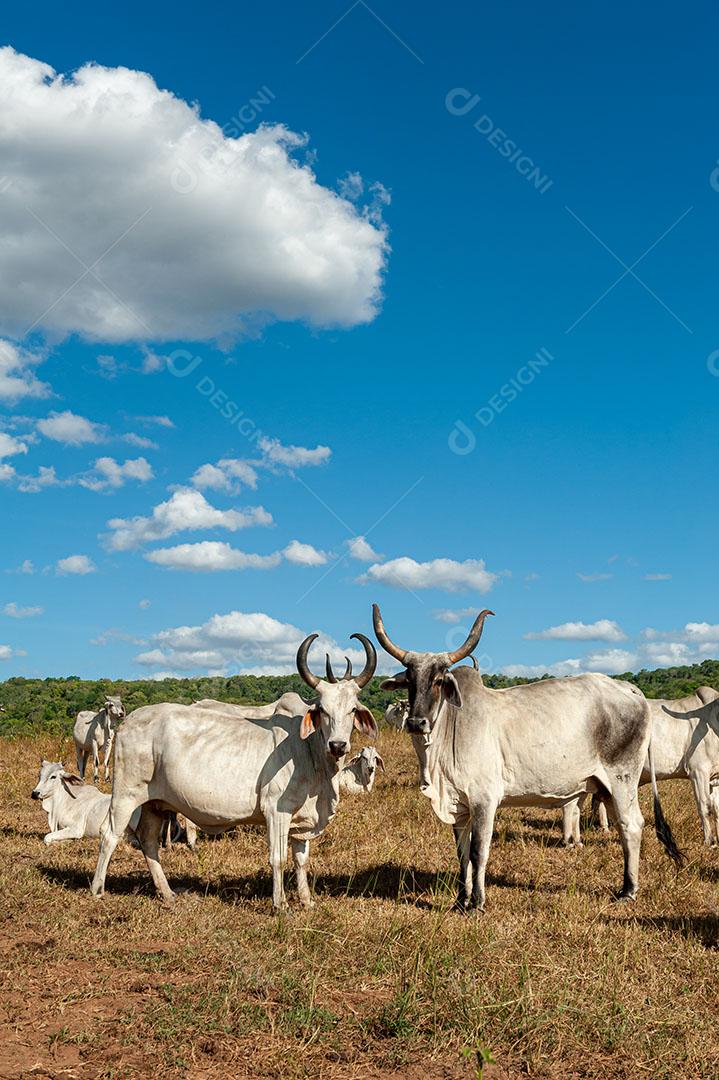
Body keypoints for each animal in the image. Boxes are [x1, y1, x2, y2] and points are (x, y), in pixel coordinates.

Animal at [90, 634, 378, 911]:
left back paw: (167, 893)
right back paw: (97, 889)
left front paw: (307, 901)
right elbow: (278, 859)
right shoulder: (276, 811)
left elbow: (301, 860)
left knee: (148, 841)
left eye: (353, 709)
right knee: (109, 834)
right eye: (322, 710)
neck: (310, 751)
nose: (338, 745)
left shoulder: (302, 820)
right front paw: (281, 904)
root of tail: (129, 720)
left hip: (154, 803)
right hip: (125, 795)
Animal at [372, 604, 682, 912]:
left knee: (632, 825)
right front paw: (461, 900)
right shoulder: (458, 805)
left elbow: (478, 852)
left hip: (622, 778)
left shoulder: (485, 800)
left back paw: (628, 890)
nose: (416, 723)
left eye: (438, 681)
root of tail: (629, 689)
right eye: (409, 681)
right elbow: (462, 855)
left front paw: (477, 903)